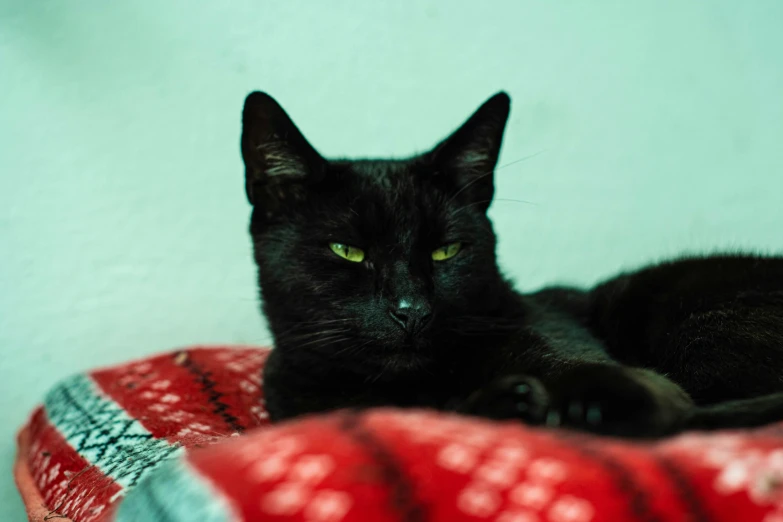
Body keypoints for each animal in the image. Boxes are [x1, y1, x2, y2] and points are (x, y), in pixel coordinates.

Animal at [242, 89, 783, 434]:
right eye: (348, 251)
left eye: (446, 250)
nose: (410, 310)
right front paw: (506, 403)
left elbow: (584, 368)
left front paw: (600, 398)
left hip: (701, 322)